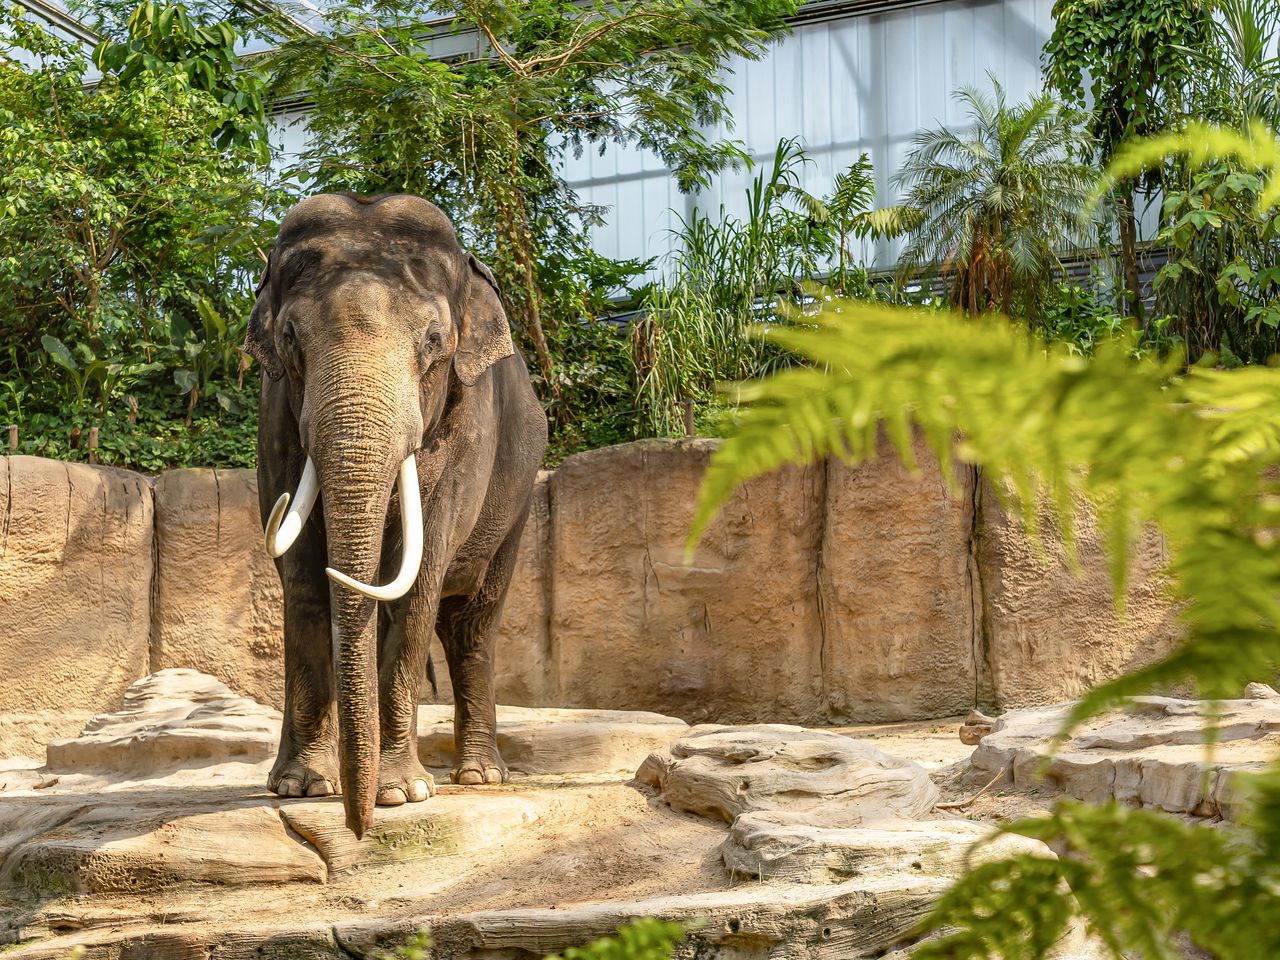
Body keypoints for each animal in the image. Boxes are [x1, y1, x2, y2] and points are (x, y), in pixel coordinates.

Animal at [241, 192, 547, 839]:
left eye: (433, 341)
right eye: (289, 339)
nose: (359, 829)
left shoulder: (466, 428)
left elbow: (420, 572)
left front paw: (401, 794)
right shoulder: (274, 415)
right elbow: (302, 579)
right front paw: (301, 788)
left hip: (519, 497)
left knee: (470, 623)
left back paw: (480, 776)